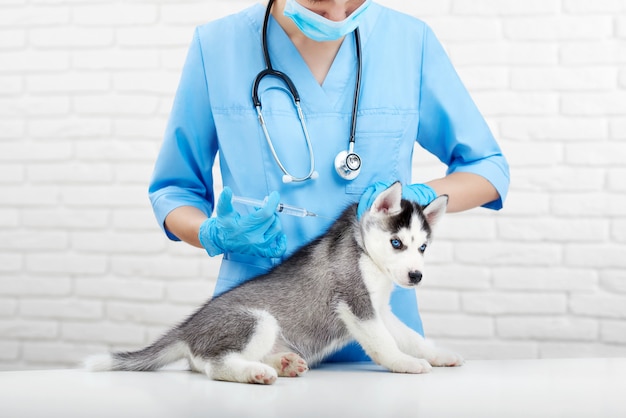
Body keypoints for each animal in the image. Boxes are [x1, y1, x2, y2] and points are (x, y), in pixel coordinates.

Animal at [85, 183, 460, 386]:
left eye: (422, 247)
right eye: (397, 243)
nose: (416, 276)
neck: (366, 253)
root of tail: (187, 328)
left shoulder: (379, 310)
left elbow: (411, 338)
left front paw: (438, 355)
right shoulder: (356, 303)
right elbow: (385, 344)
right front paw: (405, 364)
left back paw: (284, 364)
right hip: (258, 320)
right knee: (210, 365)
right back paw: (255, 372)